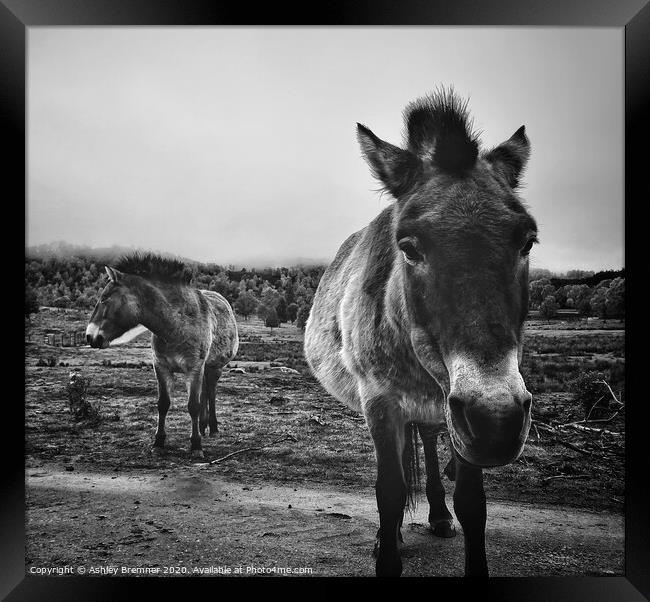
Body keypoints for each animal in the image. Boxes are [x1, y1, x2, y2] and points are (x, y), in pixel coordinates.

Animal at [85, 251, 238, 458]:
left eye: (104, 298)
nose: (90, 336)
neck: (175, 326)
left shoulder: (194, 369)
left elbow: (193, 405)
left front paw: (196, 445)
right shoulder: (161, 366)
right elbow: (164, 403)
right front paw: (158, 442)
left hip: (214, 368)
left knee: (211, 393)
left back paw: (212, 428)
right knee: (206, 393)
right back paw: (204, 426)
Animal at [304, 89, 536, 576]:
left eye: (527, 241)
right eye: (408, 247)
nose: (497, 421)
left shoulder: (459, 414)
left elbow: (473, 503)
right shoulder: (381, 404)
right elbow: (388, 492)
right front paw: (387, 548)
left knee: (428, 442)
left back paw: (438, 515)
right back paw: (389, 534)